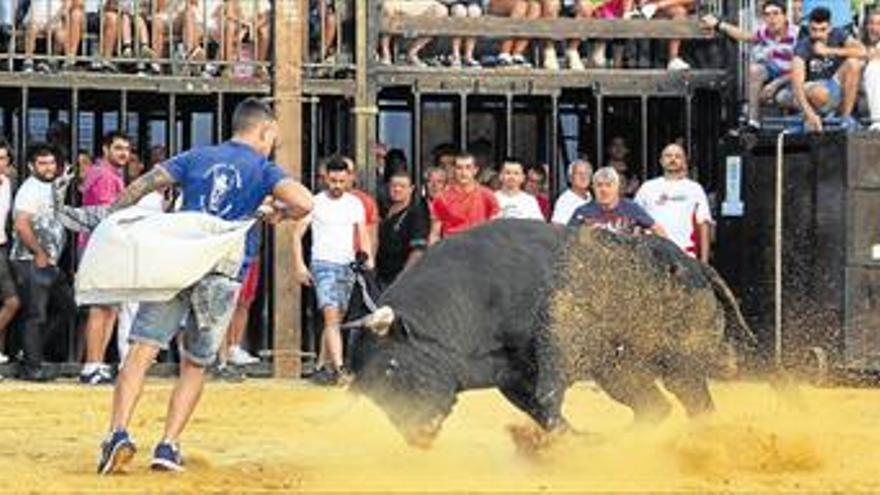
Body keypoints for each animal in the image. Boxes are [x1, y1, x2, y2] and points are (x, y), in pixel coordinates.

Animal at [344, 219, 756, 448]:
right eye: (374, 395)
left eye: (392, 367)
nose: (418, 435)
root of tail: (696, 266)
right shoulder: (512, 378)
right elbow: (541, 409)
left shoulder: (556, 337)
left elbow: (548, 395)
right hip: (619, 373)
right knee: (655, 407)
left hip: (680, 363)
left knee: (697, 403)